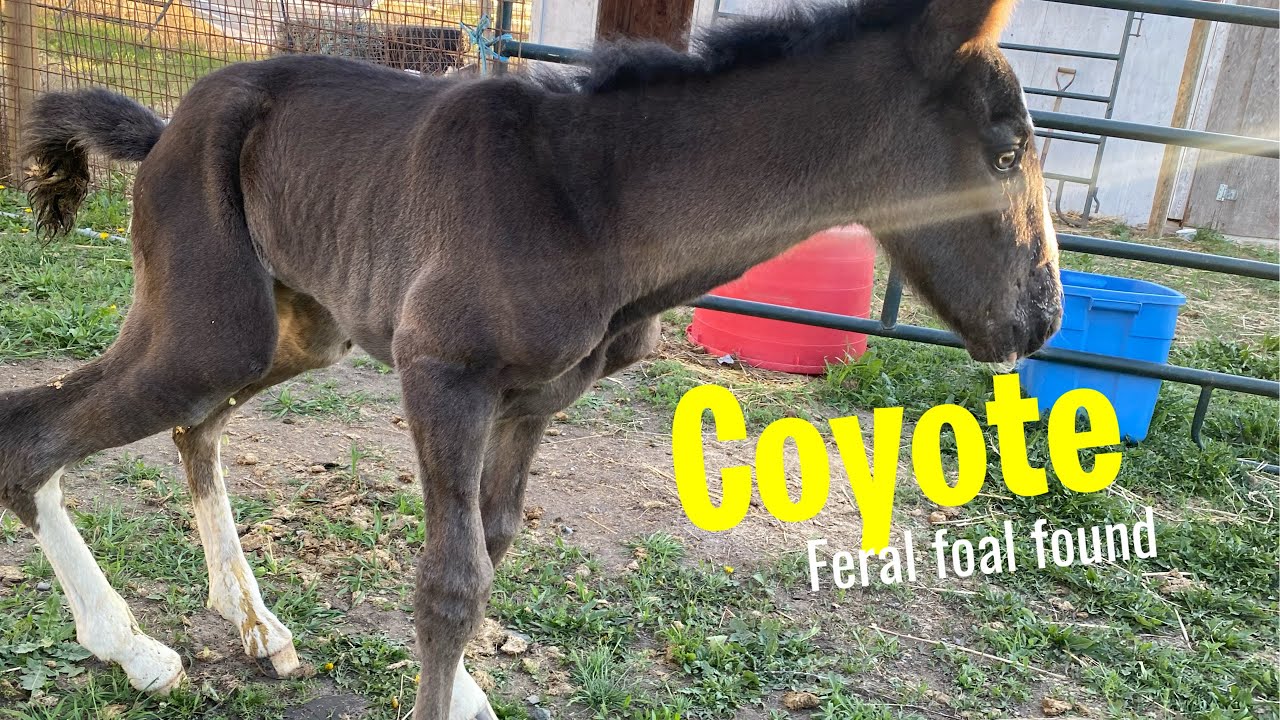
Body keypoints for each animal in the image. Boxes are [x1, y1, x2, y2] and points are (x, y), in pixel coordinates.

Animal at [4, 0, 1059, 717]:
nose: (1042, 319)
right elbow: (451, 583)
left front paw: (468, 688)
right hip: (210, 328)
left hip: (299, 329)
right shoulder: (441, 373)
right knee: (37, 430)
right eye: (1007, 150)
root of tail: (166, 128)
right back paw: (129, 646)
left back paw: (252, 622)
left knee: (196, 426)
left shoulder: (534, 403)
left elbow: (495, 543)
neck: (595, 202)